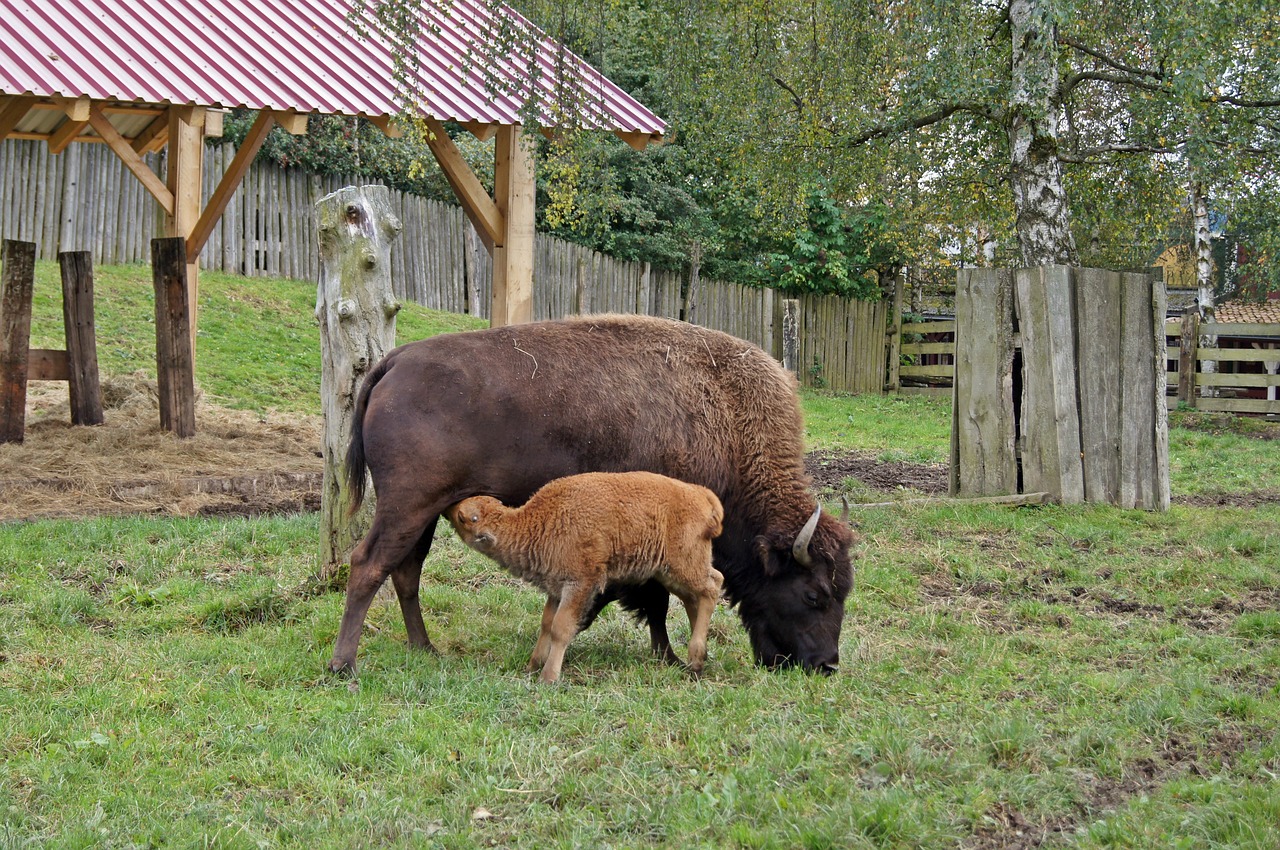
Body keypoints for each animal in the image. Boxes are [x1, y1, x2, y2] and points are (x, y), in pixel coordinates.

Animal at [442, 468, 721, 681]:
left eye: (465, 517)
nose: (450, 505)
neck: (539, 522)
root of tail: (701, 495)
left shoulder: (579, 585)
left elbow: (560, 628)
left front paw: (548, 677)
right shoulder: (556, 588)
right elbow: (546, 624)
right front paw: (532, 665)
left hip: (683, 567)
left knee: (712, 586)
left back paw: (696, 657)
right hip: (669, 573)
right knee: (695, 597)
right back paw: (698, 659)